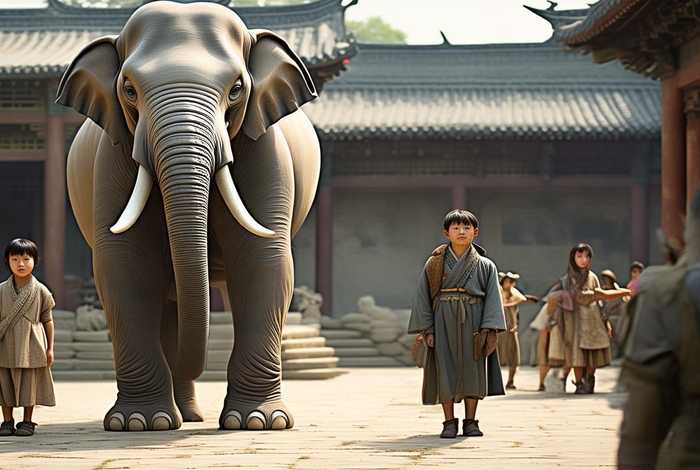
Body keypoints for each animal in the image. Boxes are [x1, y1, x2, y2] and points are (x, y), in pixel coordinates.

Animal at [56, 1, 321, 432]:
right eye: (129, 89)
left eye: (236, 88)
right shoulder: (113, 159)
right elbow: (124, 265)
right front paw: (136, 423)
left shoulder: (264, 151)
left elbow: (263, 260)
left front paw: (260, 422)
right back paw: (176, 418)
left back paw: (192, 416)